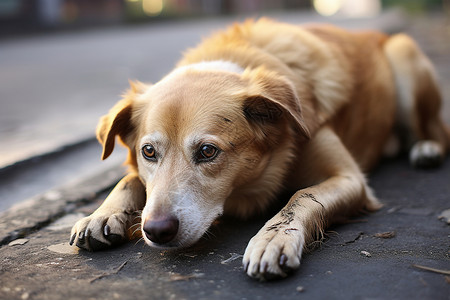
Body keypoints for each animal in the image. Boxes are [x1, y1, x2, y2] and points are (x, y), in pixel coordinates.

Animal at [70, 19, 450, 280]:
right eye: (148, 152)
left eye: (207, 152)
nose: (156, 230)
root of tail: (377, 33)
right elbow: (129, 180)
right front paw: (101, 213)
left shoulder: (350, 179)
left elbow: (301, 196)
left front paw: (274, 238)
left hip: (405, 58)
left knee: (436, 131)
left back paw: (426, 149)